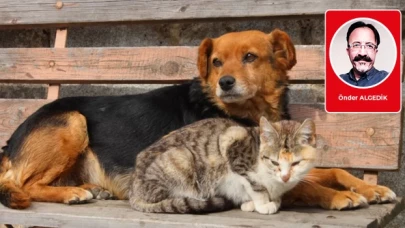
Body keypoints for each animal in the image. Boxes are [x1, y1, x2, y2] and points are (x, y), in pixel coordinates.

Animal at [129, 116, 316, 215]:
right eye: (274, 162)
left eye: (296, 163)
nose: (285, 177)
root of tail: (133, 190)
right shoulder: (232, 142)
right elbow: (255, 186)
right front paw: (263, 204)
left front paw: (270, 201)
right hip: (181, 158)